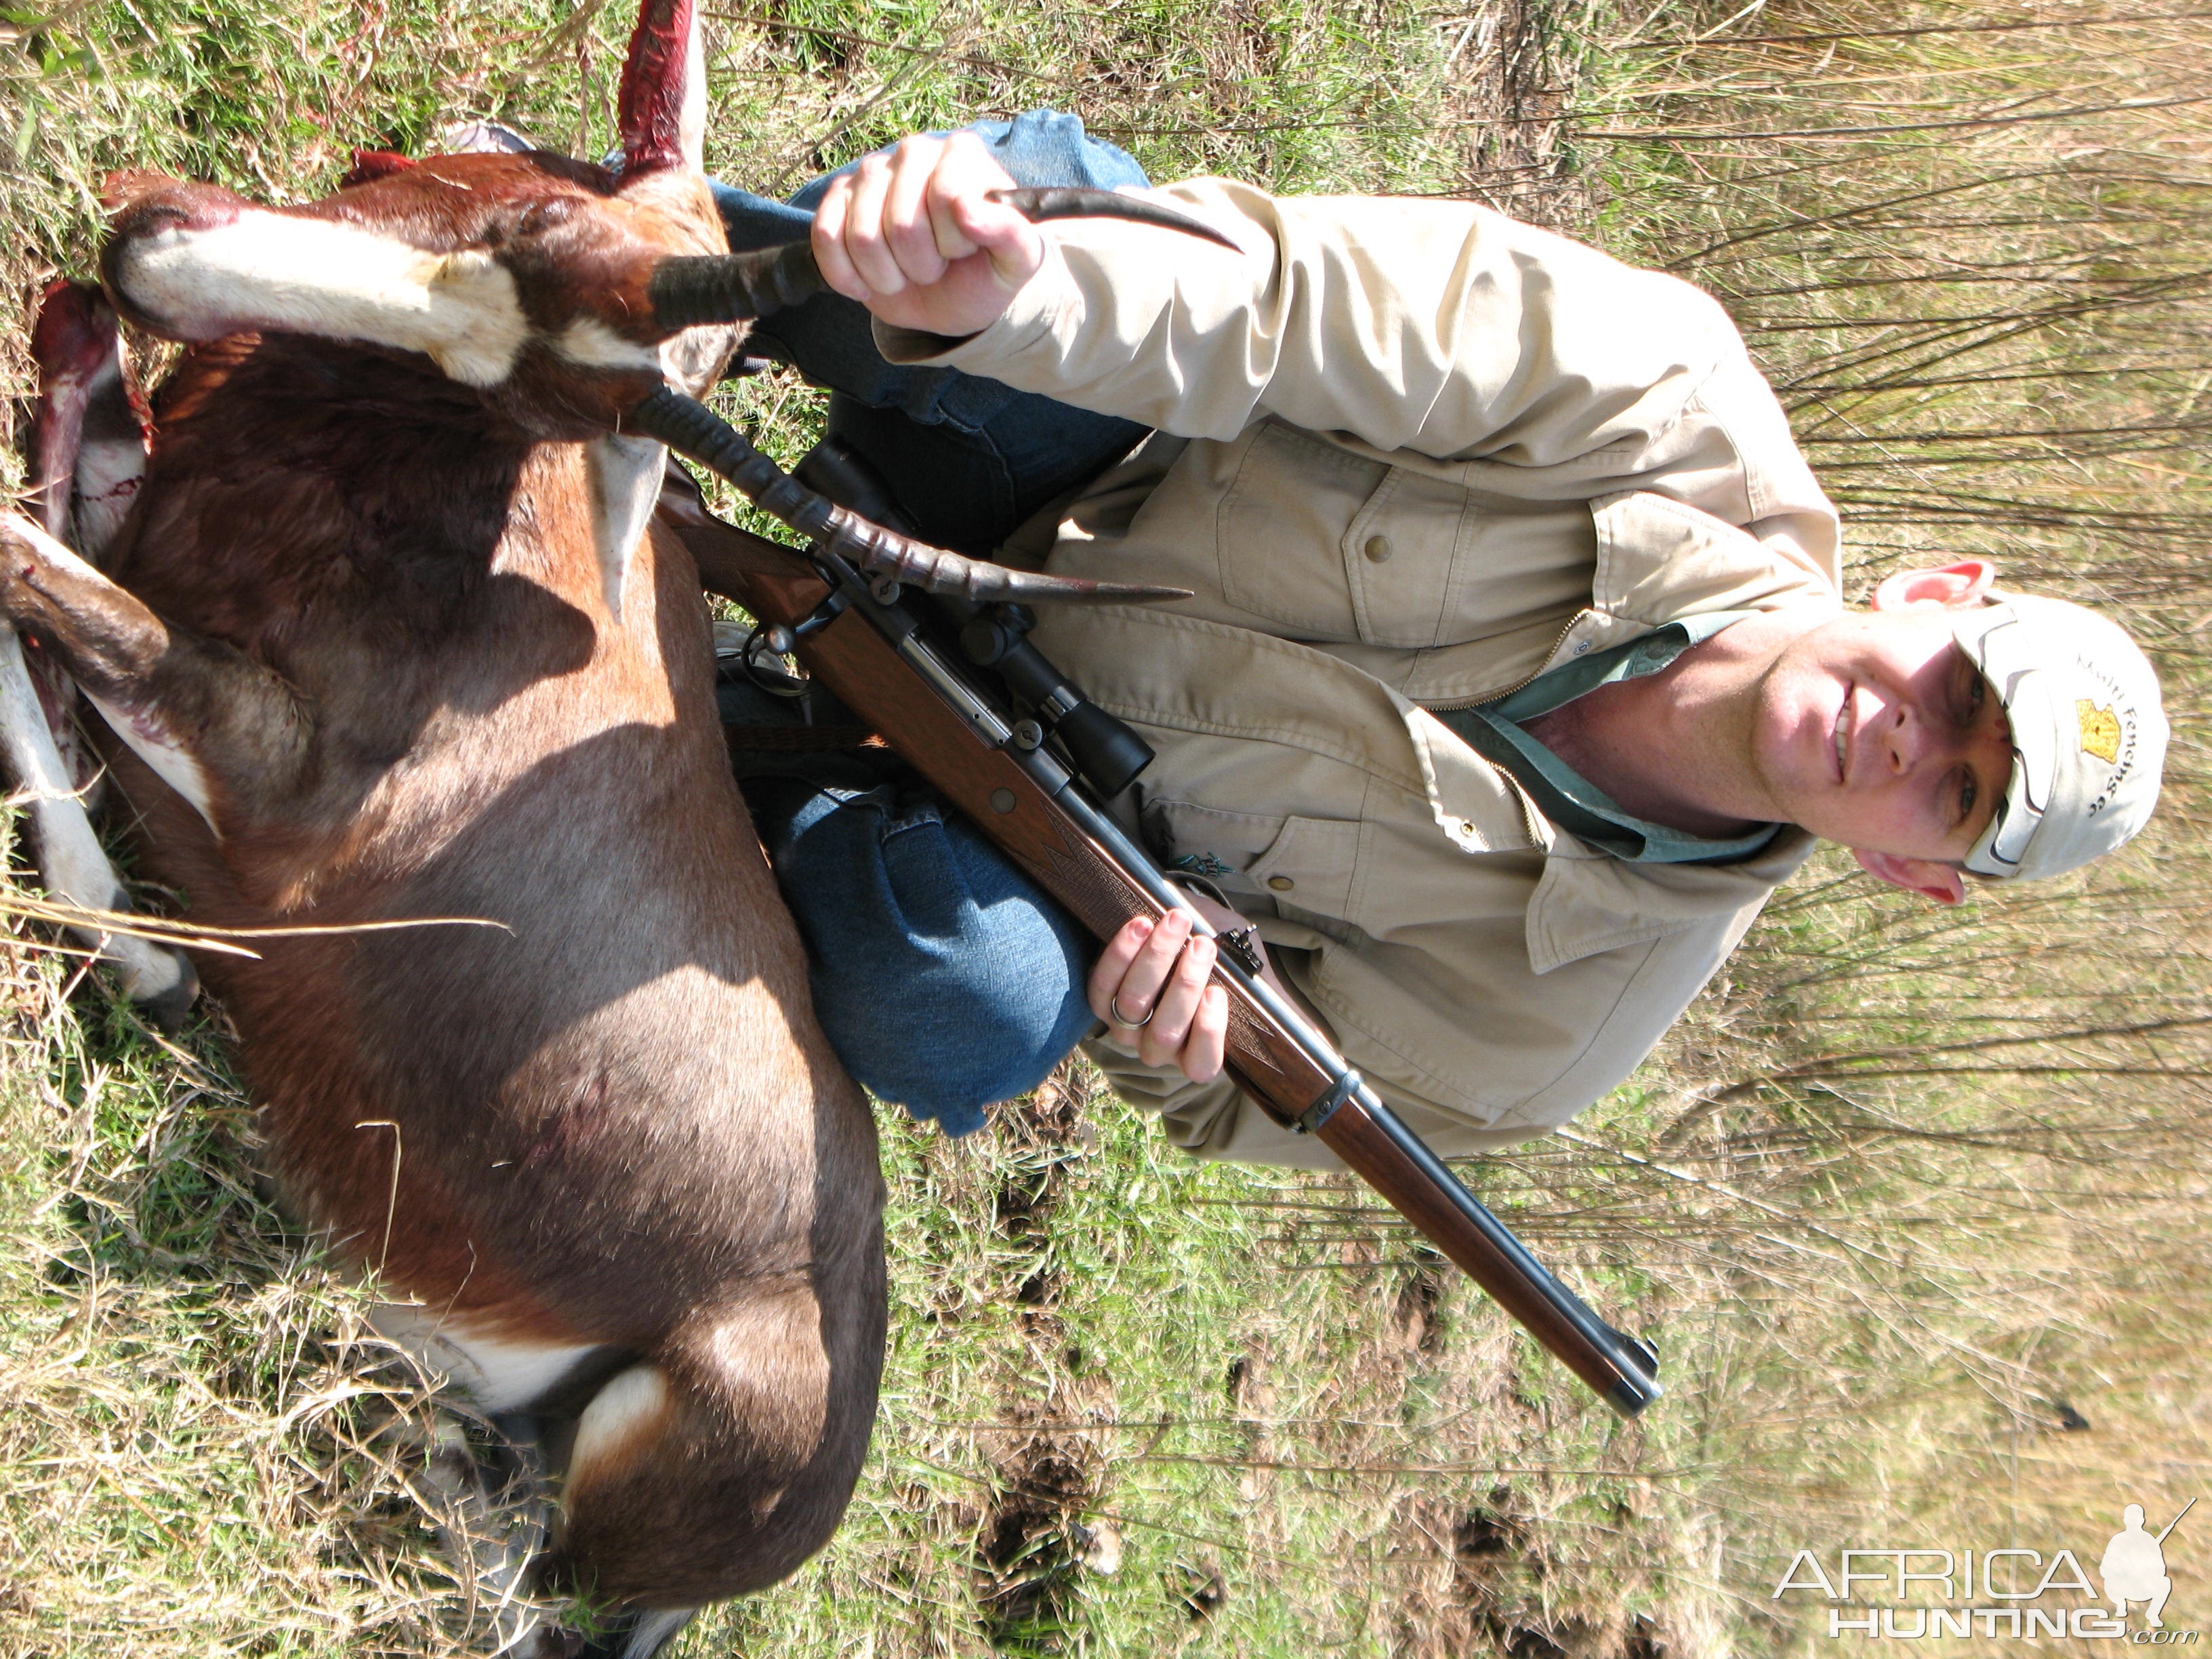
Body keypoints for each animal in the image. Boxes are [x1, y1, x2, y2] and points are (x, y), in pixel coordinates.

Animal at [4, 0, 1212, 1654]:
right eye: (514, 237)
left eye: (550, 409)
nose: (145, 253)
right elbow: (63, 502)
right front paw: (75, 338)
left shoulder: (252, 772)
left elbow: (35, 596)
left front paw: (141, 959)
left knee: (526, 1580)